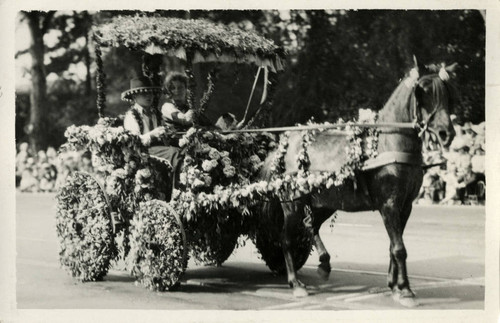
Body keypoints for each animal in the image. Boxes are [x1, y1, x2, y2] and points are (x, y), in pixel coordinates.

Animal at [264, 62, 458, 308]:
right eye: (423, 96)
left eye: (447, 97)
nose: (446, 133)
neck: (388, 144)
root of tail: (284, 147)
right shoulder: (389, 205)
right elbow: (399, 248)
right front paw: (405, 290)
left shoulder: (405, 207)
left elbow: (393, 246)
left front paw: (394, 285)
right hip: (293, 203)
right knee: (286, 238)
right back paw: (295, 283)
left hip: (325, 203)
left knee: (310, 225)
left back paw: (324, 264)